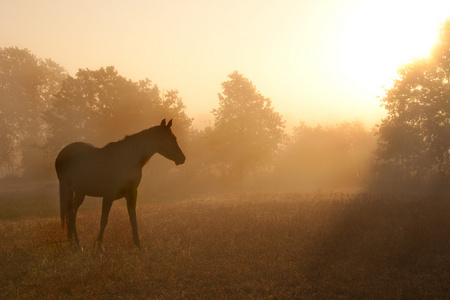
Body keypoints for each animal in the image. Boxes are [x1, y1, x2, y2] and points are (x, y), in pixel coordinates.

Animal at [55, 118, 185, 250]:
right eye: (172, 138)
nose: (182, 158)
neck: (127, 159)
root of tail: (62, 153)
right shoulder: (108, 195)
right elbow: (104, 220)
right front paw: (99, 246)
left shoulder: (132, 194)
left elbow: (133, 219)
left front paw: (138, 245)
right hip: (68, 189)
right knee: (71, 214)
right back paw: (77, 243)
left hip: (80, 192)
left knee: (72, 213)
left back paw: (73, 242)